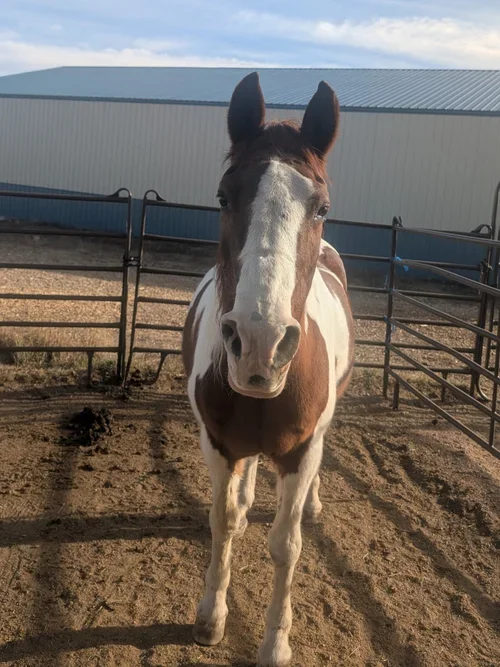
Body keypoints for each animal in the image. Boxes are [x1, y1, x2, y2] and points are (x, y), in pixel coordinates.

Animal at [182, 71, 354, 667]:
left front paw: (276, 641)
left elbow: (286, 544)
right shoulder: (216, 443)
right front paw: (211, 615)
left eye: (322, 207)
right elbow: (225, 519)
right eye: (223, 196)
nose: (260, 343)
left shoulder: (302, 453)